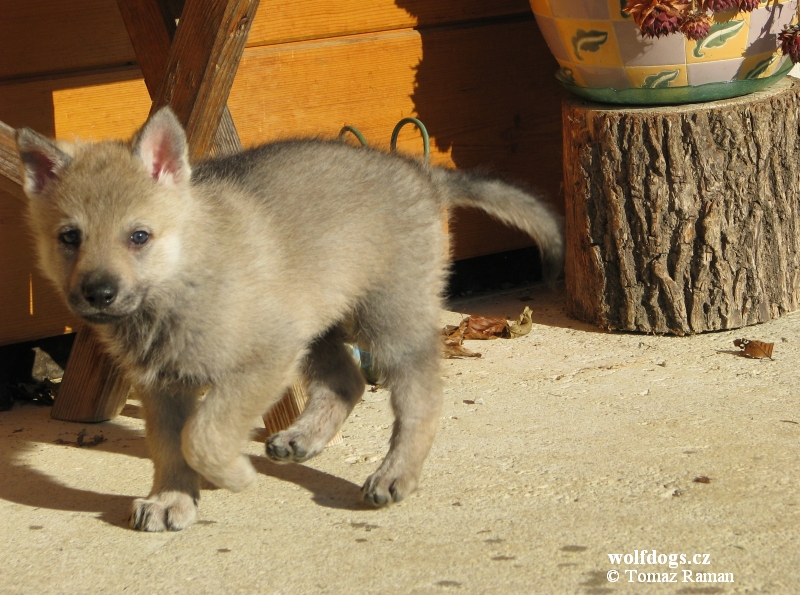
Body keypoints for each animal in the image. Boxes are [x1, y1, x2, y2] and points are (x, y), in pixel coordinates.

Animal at [14, 106, 564, 532]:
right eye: (70, 237)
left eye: (138, 236)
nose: (99, 294)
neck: (181, 279)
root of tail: (421, 174)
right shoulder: (162, 386)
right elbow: (170, 448)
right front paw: (172, 500)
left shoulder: (263, 359)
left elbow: (202, 437)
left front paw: (233, 475)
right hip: (319, 322)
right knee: (346, 381)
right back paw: (305, 438)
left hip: (388, 319)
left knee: (420, 394)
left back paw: (395, 475)